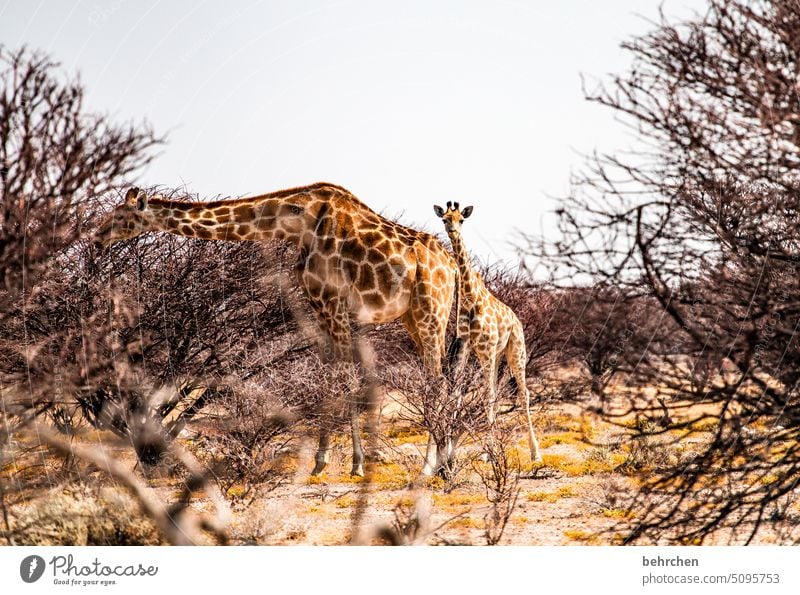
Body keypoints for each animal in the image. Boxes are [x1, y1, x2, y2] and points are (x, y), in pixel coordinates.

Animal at [92, 184, 456, 478]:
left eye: (121, 215)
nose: (96, 237)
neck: (297, 223)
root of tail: (451, 265)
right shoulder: (320, 306)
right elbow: (328, 378)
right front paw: (321, 461)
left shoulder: (333, 303)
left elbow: (345, 379)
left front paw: (356, 462)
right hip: (414, 317)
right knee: (441, 378)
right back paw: (444, 462)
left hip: (430, 312)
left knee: (437, 382)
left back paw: (430, 466)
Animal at [432, 203, 544, 464]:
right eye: (444, 219)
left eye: (461, 219)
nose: (452, 230)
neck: (471, 297)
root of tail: (517, 319)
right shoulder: (466, 347)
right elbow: (459, 395)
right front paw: (459, 450)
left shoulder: (486, 348)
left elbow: (487, 395)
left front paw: (488, 452)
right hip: (497, 355)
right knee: (496, 391)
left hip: (515, 351)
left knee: (523, 393)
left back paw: (535, 453)